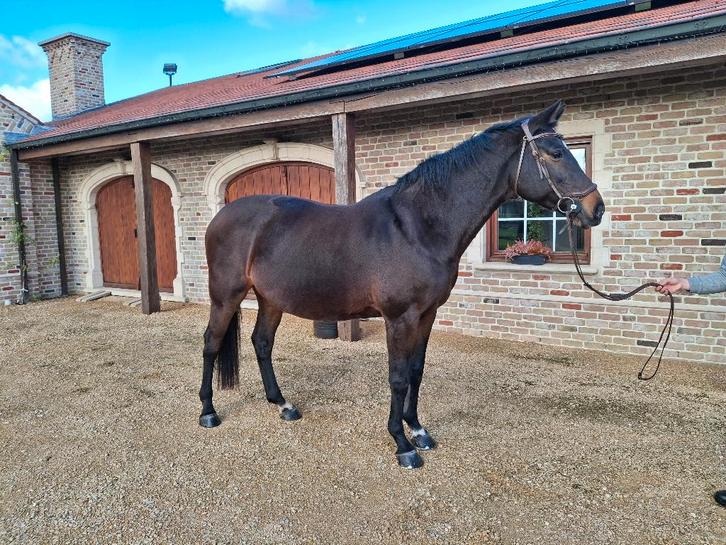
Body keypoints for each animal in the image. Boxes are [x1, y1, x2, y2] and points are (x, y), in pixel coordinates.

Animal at [199, 100, 605, 469]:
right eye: (556, 154)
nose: (596, 209)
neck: (416, 228)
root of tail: (223, 215)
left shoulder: (426, 315)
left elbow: (415, 371)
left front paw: (418, 430)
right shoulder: (399, 318)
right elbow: (396, 377)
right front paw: (402, 444)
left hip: (270, 298)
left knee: (262, 343)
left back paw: (283, 405)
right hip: (226, 296)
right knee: (211, 344)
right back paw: (208, 412)